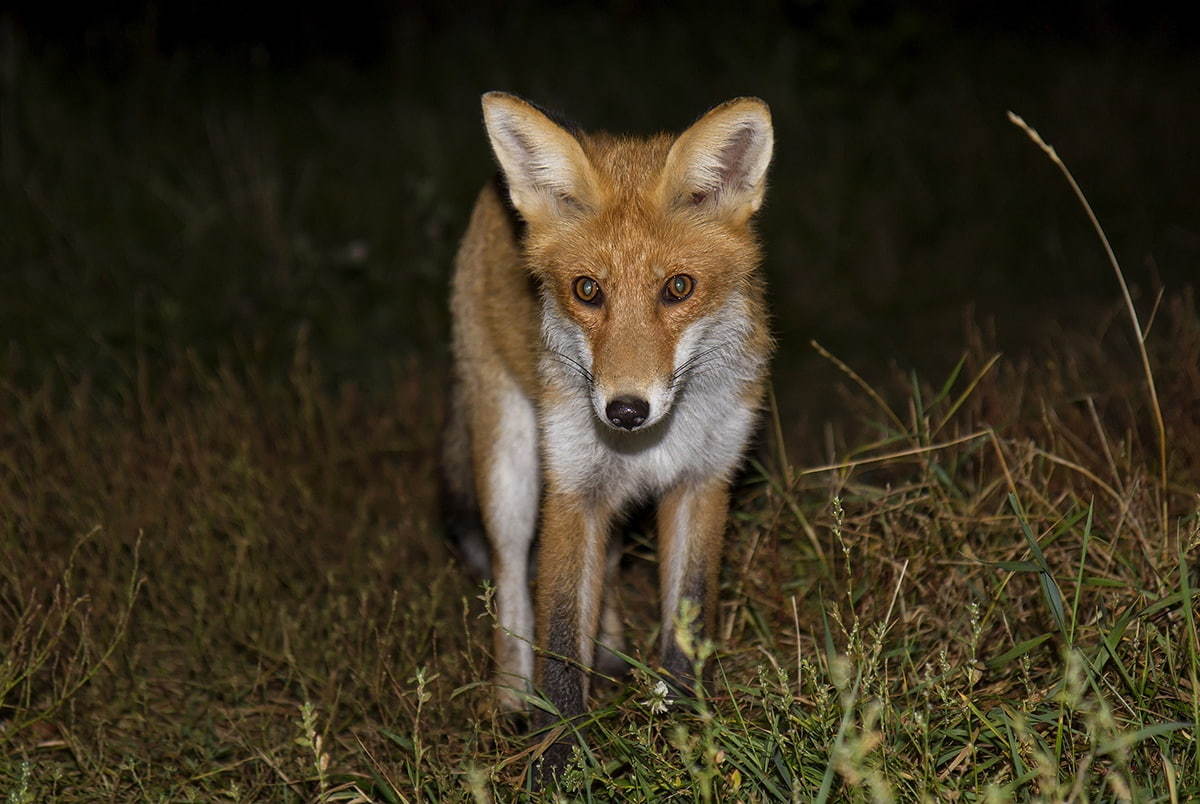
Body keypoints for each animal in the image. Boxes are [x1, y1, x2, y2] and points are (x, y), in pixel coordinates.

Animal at [444, 91, 777, 772]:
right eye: (587, 290)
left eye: (679, 287)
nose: (625, 411)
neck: (657, 442)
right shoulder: (573, 489)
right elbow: (560, 638)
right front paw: (557, 761)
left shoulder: (704, 483)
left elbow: (685, 622)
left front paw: (681, 733)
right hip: (510, 462)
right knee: (510, 575)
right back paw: (511, 696)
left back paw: (612, 653)